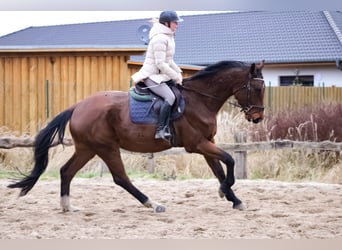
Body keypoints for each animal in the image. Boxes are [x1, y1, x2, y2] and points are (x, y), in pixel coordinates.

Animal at [7, 60, 264, 213]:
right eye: (258, 88)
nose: (258, 117)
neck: (200, 100)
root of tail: (78, 106)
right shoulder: (198, 144)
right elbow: (229, 161)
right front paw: (225, 191)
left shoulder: (208, 143)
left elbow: (219, 169)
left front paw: (233, 199)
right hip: (106, 147)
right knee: (120, 177)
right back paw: (153, 203)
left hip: (87, 148)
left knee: (66, 171)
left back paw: (67, 207)